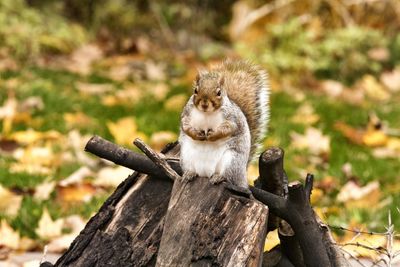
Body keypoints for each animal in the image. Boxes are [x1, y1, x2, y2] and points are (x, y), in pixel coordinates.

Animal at [178, 59, 268, 189]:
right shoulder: (187, 115)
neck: (207, 113)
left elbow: (228, 128)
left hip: (231, 161)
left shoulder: (232, 119)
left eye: (219, 92)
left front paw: (213, 135)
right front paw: (196, 134)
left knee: (228, 177)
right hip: (186, 157)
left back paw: (219, 177)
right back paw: (189, 174)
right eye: (195, 90)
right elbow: (185, 127)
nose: (204, 104)